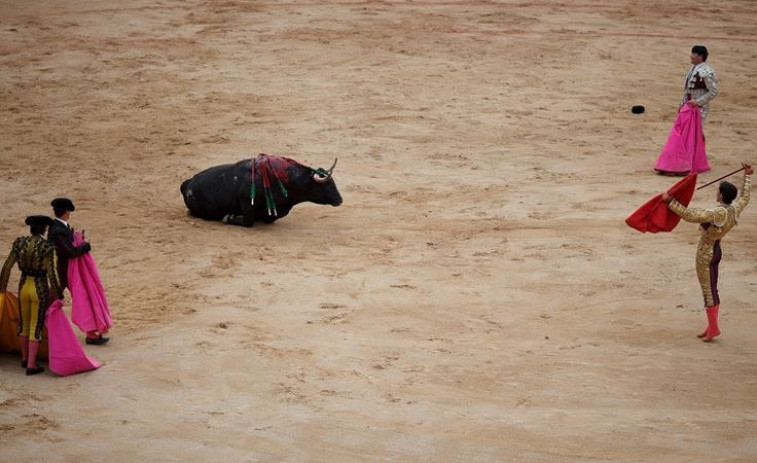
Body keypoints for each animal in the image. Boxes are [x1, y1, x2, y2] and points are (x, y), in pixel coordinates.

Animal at [182, 155, 342, 227]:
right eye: (329, 185)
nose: (340, 200)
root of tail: (187, 184)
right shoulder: (246, 202)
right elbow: (248, 221)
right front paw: (228, 217)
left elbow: (269, 217)